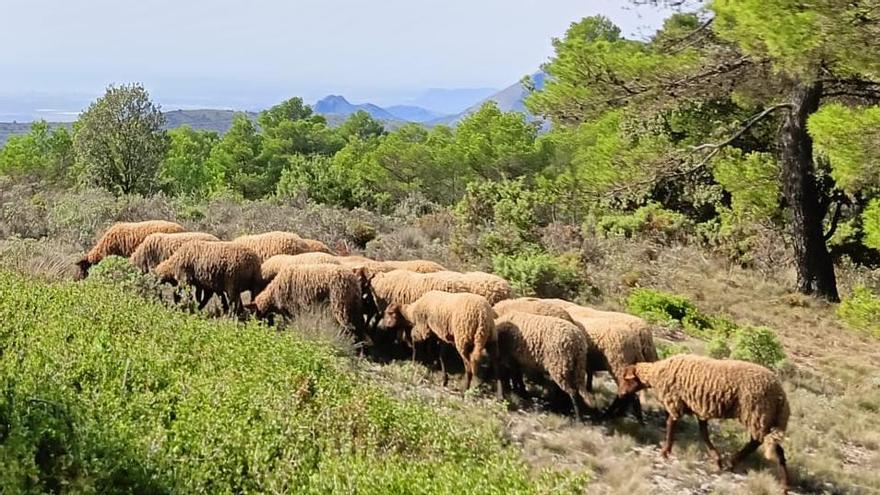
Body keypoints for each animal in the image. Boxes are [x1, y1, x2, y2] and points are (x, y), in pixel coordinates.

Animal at [620, 354, 790, 491]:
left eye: (625, 379)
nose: (621, 394)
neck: (656, 373)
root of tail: (781, 397)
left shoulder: (675, 401)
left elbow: (670, 425)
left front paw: (665, 451)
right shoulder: (699, 410)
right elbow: (704, 434)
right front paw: (717, 459)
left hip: (756, 413)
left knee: (756, 442)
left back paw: (733, 462)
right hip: (766, 419)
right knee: (778, 449)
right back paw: (784, 486)